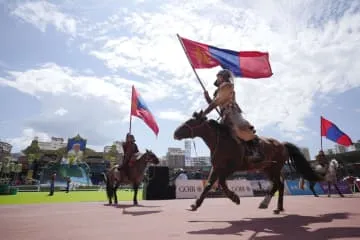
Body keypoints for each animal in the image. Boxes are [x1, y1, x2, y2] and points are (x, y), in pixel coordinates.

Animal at [172, 112, 324, 214]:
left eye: (191, 121)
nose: (175, 133)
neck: (222, 141)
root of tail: (282, 144)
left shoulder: (231, 167)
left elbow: (221, 182)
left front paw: (234, 197)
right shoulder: (216, 167)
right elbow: (209, 185)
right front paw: (195, 204)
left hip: (274, 167)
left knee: (277, 184)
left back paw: (266, 203)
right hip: (267, 168)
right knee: (279, 185)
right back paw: (277, 207)